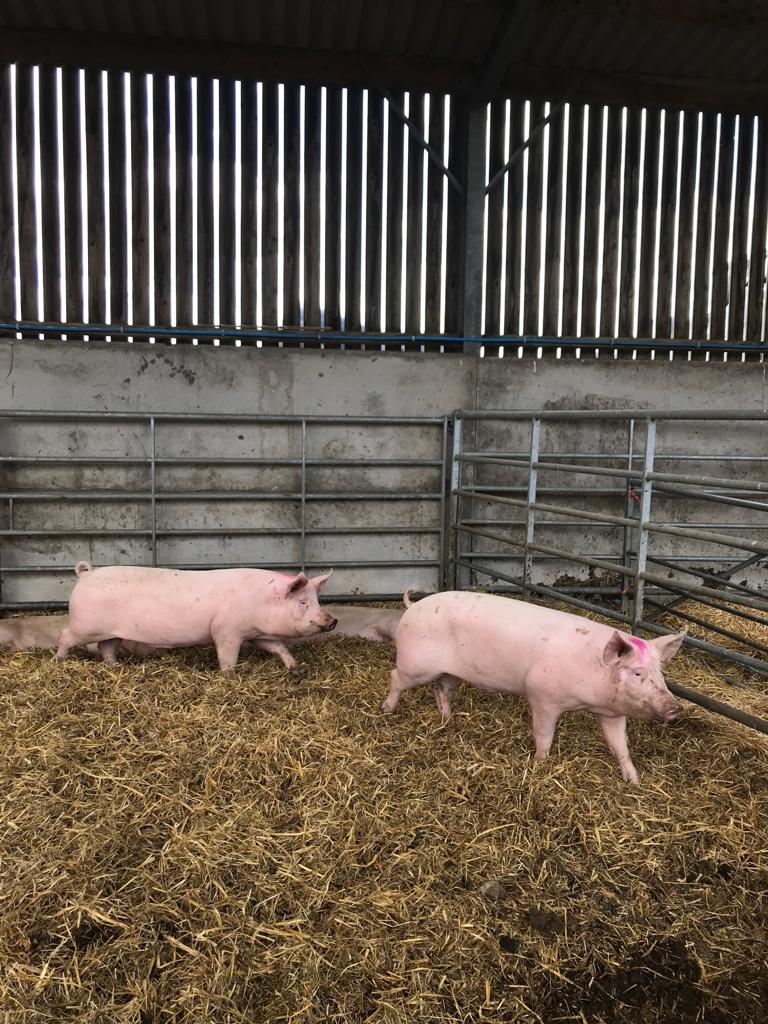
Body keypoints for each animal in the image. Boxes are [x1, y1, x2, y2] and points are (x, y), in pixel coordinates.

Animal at [55, 561, 336, 672]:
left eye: (317, 600)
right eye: (303, 602)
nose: (332, 620)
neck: (261, 601)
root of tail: (86, 574)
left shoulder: (257, 634)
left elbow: (278, 647)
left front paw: (295, 668)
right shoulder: (226, 631)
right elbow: (227, 657)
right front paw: (229, 676)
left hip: (112, 631)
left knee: (107, 648)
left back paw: (116, 667)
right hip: (84, 627)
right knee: (65, 635)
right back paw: (58, 660)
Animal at [382, 590, 686, 783]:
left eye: (660, 673)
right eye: (637, 672)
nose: (675, 708)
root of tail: (412, 606)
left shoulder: (613, 713)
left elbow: (620, 745)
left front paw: (633, 781)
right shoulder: (542, 696)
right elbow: (543, 735)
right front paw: (540, 764)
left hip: (447, 672)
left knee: (441, 690)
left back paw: (447, 720)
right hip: (416, 666)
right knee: (395, 677)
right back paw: (386, 710)